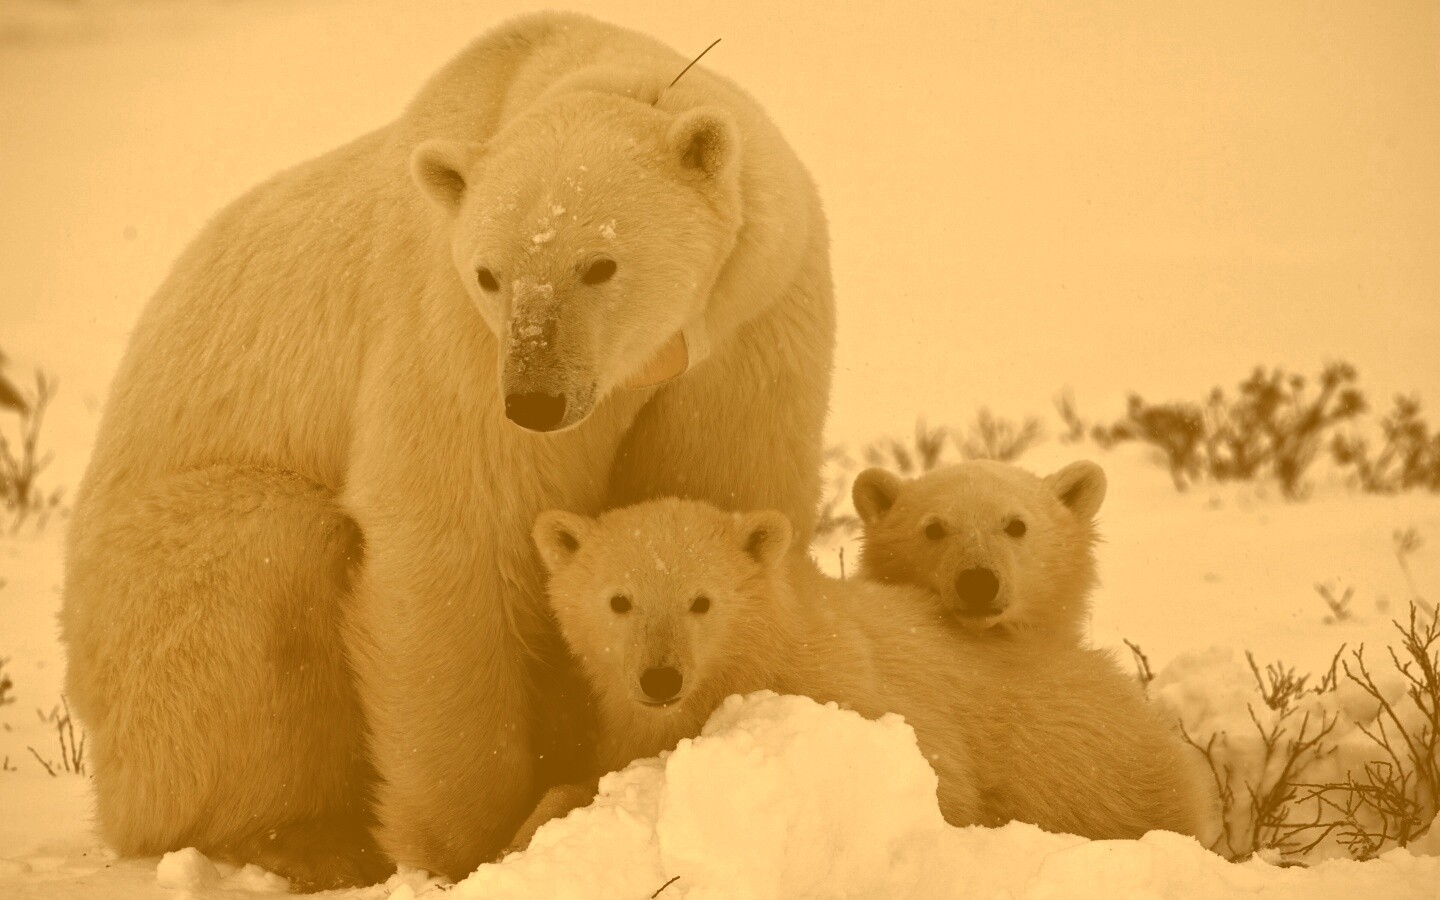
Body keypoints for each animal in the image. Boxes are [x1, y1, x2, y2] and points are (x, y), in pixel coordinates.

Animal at [61, 10, 835, 887]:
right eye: (491, 273)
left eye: (600, 263)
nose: (535, 401)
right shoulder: (451, 331)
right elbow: (453, 534)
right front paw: (475, 842)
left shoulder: (748, 326)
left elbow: (716, 491)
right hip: (147, 609)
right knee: (264, 565)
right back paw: (307, 838)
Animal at [518, 498, 1215, 846]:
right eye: (619, 600)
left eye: (701, 601)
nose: (660, 678)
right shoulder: (632, 726)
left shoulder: (854, 692)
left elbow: (940, 785)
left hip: (1087, 761)